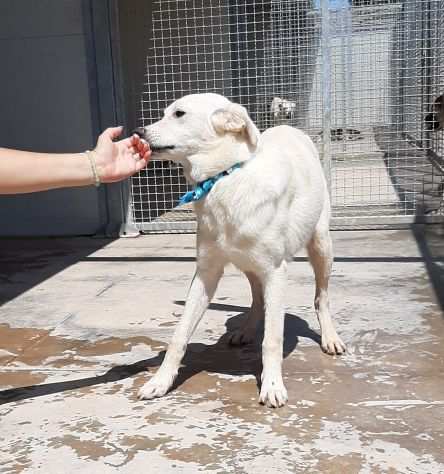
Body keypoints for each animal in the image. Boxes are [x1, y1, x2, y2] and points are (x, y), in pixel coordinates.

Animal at [137, 93, 346, 408]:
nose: (138, 132)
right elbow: (179, 335)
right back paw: (246, 330)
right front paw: (160, 382)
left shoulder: (276, 272)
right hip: (247, 264)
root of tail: (287, 127)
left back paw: (329, 338)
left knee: (321, 297)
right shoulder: (206, 273)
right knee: (257, 300)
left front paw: (272, 386)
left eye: (179, 114)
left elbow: (272, 339)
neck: (225, 178)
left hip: (321, 246)